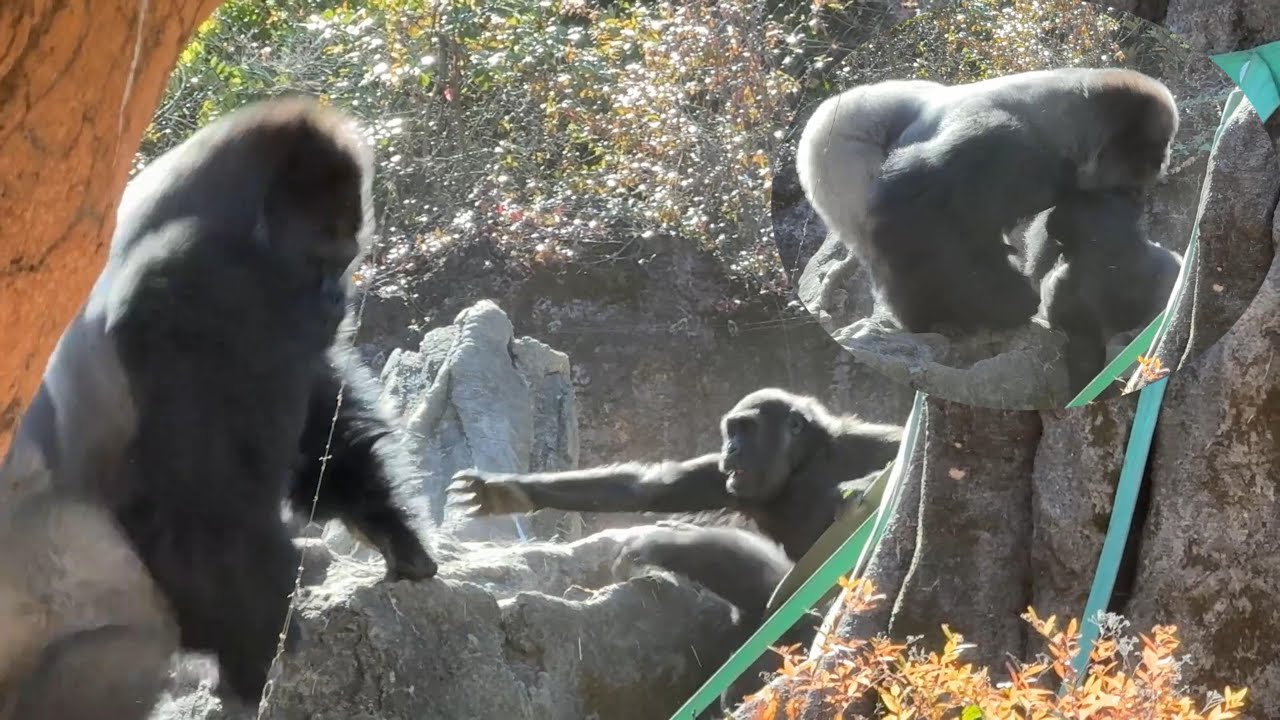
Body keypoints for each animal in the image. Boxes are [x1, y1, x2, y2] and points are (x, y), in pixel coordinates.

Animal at [795, 67, 1179, 334]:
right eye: (1130, 186)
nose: (1137, 201)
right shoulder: (1003, 139)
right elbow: (919, 203)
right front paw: (1007, 304)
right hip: (840, 149)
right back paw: (927, 317)